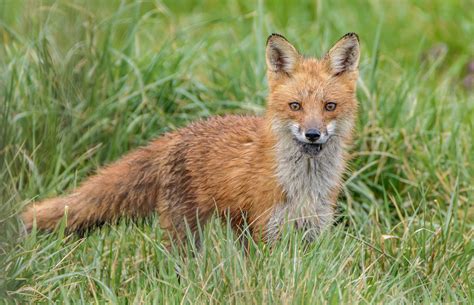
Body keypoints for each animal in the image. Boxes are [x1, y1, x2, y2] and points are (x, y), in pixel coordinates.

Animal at [21, 32, 360, 243]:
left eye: (329, 106)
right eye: (295, 106)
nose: (313, 134)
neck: (303, 186)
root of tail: (176, 133)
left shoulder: (314, 230)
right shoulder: (268, 228)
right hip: (188, 230)